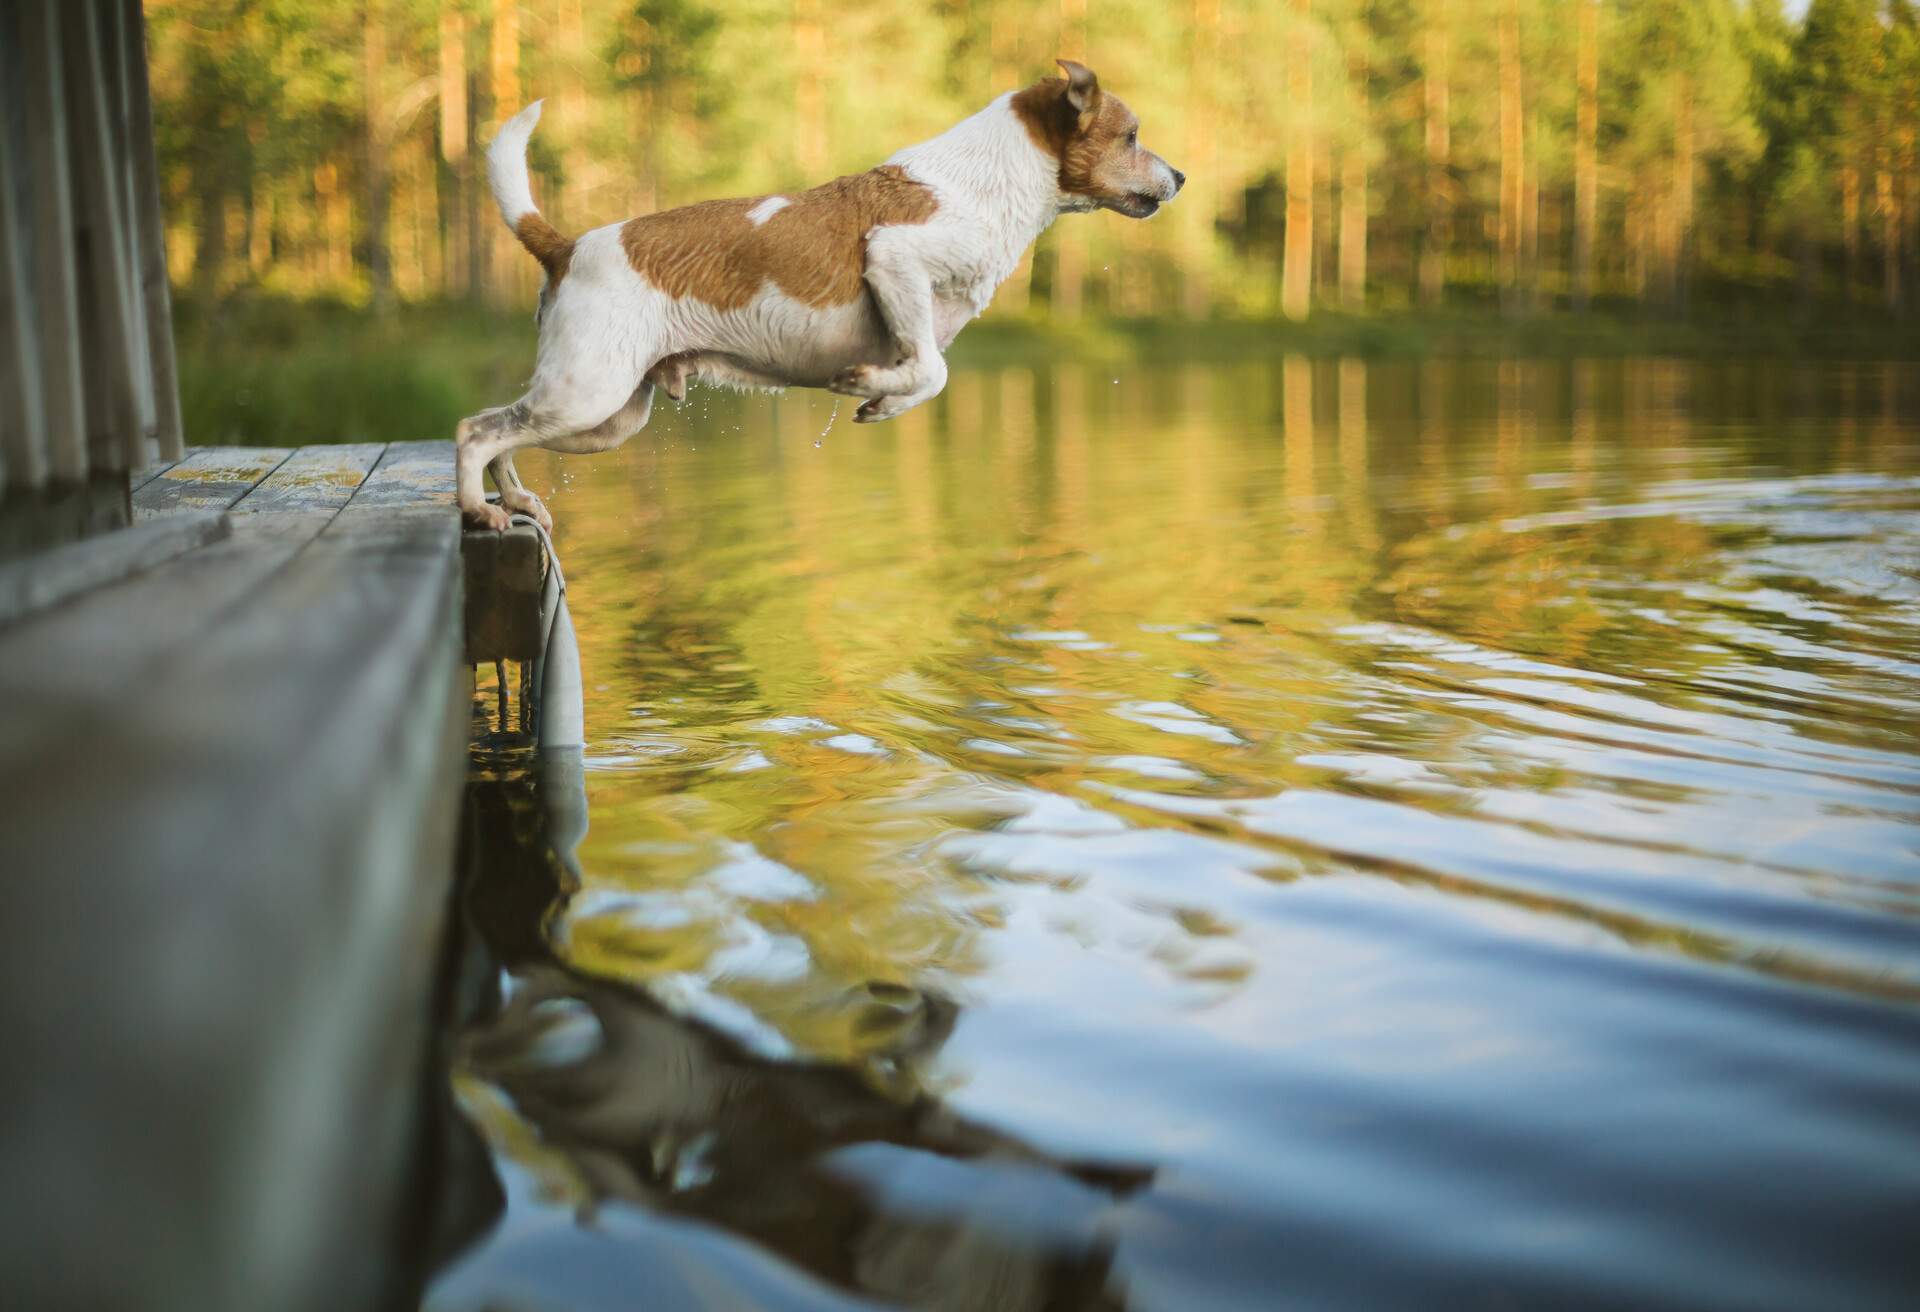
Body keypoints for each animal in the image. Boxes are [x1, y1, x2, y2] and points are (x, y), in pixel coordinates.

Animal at [464, 56, 1182, 530]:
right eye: (1132, 136)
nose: (1181, 176)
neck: (988, 180)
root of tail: (568, 245)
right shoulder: (895, 261)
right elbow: (933, 370)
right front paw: (870, 388)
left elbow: (926, 374)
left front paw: (884, 400)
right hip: (586, 394)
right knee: (476, 431)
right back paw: (477, 509)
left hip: (605, 419)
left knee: (503, 432)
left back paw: (515, 500)